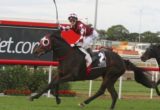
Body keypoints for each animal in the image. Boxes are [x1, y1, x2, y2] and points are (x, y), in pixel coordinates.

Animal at [30, 29, 159, 109]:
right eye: (41, 40)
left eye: (45, 41)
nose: (35, 51)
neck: (68, 55)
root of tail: (122, 60)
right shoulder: (60, 74)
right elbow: (52, 84)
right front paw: (44, 98)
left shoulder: (72, 76)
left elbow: (54, 83)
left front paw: (39, 97)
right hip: (110, 77)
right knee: (114, 94)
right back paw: (110, 108)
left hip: (110, 75)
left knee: (101, 91)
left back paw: (83, 103)